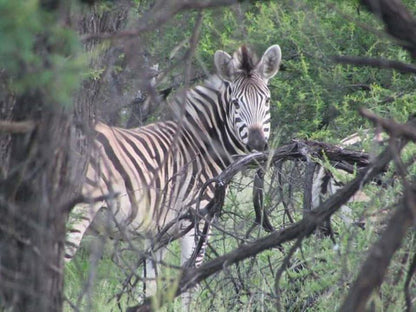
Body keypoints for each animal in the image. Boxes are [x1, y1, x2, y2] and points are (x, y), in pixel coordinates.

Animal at [66, 43, 282, 300]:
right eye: (236, 104)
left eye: (267, 101)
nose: (258, 145)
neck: (200, 148)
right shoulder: (197, 219)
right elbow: (190, 284)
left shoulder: (157, 233)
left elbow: (150, 287)